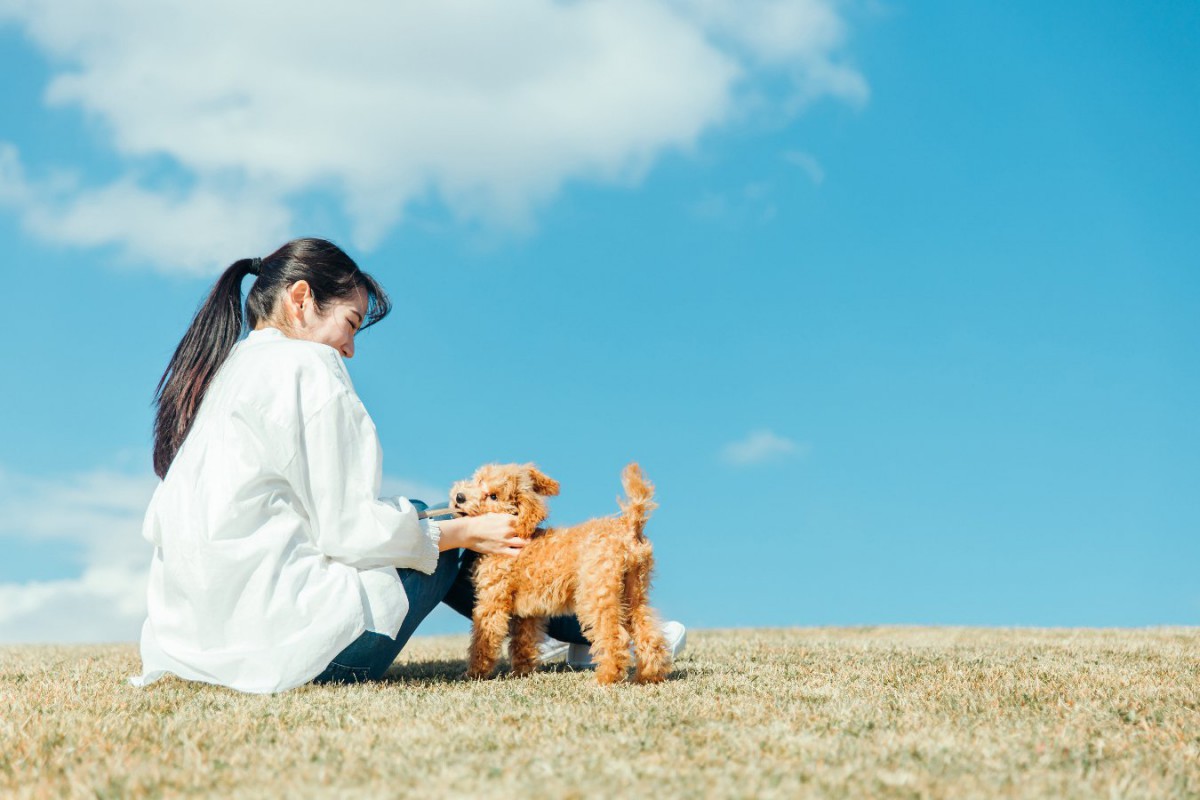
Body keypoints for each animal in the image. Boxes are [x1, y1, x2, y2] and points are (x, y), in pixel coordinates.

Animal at [451, 462, 676, 681]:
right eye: (478, 479)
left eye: (494, 496)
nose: (459, 497)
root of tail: (629, 524)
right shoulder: (527, 611)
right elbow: (523, 641)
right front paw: (522, 672)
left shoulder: (493, 598)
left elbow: (484, 638)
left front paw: (475, 673)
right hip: (633, 590)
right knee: (647, 631)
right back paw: (649, 675)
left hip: (596, 591)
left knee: (614, 635)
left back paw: (607, 677)